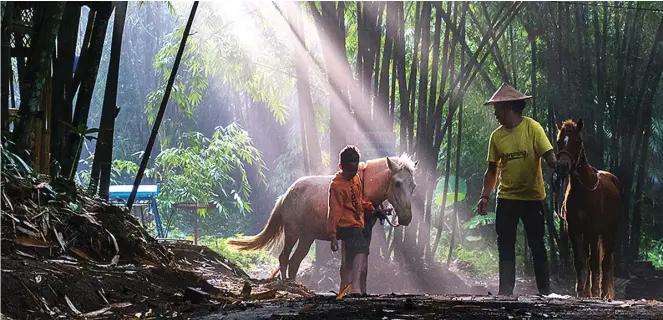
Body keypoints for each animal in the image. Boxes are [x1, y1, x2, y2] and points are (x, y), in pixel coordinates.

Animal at [226, 154, 418, 282]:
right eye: (397, 183)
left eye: (413, 186)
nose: (406, 218)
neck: (362, 190)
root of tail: (285, 195)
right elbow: (347, 267)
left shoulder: (363, 236)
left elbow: (359, 266)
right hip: (292, 233)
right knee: (284, 258)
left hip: (306, 238)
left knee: (295, 262)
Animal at [556, 119, 624, 300]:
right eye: (559, 141)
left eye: (578, 141)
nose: (563, 166)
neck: (583, 190)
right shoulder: (574, 230)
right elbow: (580, 261)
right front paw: (581, 290)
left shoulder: (593, 229)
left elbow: (594, 262)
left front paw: (593, 291)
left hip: (609, 232)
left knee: (604, 261)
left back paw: (603, 292)